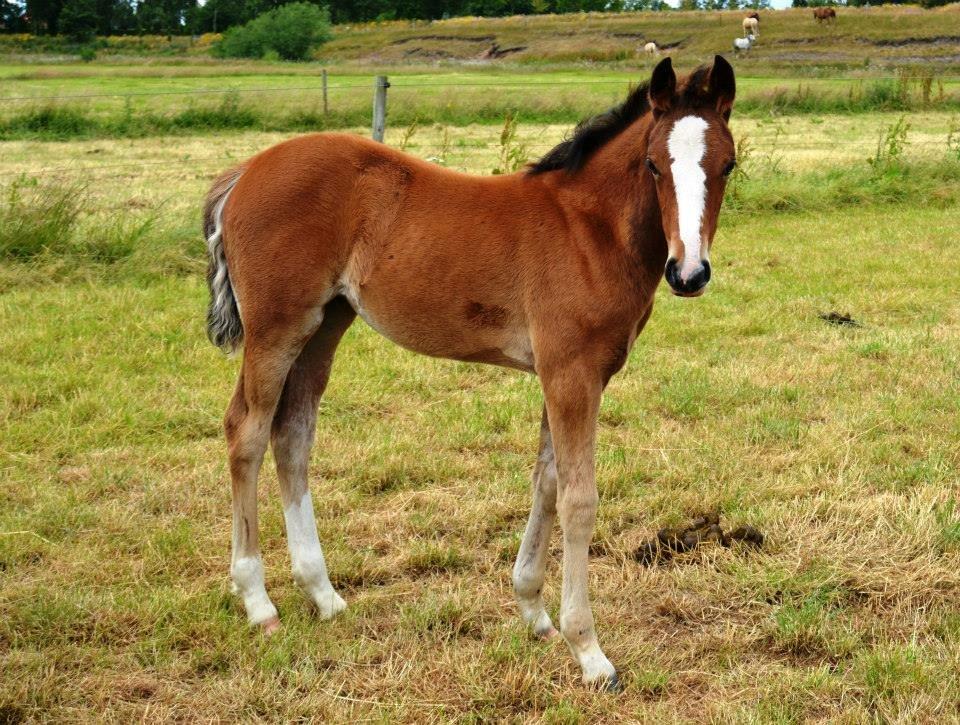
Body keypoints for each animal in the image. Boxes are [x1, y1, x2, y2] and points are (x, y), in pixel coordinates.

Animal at [206, 55, 740, 684]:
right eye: (654, 164)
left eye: (728, 164)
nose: (689, 272)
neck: (589, 229)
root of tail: (245, 171)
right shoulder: (571, 373)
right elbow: (578, 499)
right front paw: (589, 651)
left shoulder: (566, 374)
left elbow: (546, 481)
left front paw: (534, 612)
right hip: (276, 328)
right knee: (247, 431)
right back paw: (258, 601)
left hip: (325, 325)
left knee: (292, 437)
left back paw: (324, 595)